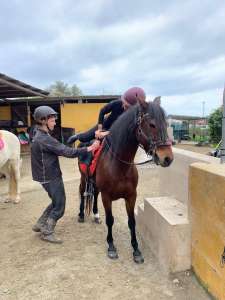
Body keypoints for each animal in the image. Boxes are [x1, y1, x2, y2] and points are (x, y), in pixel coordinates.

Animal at [78, 98, 173, 262]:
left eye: (166, 124)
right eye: (152, 124)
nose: (167, 158)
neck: (119, 165)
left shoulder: (131, 196)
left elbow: (132, 222)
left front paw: (136, 250)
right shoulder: (107, 197)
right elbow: (110, 220)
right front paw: (111, 246)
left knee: (94, 194)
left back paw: (96, 215)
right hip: (84, 178)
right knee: (82, 193)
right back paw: (81, 215)